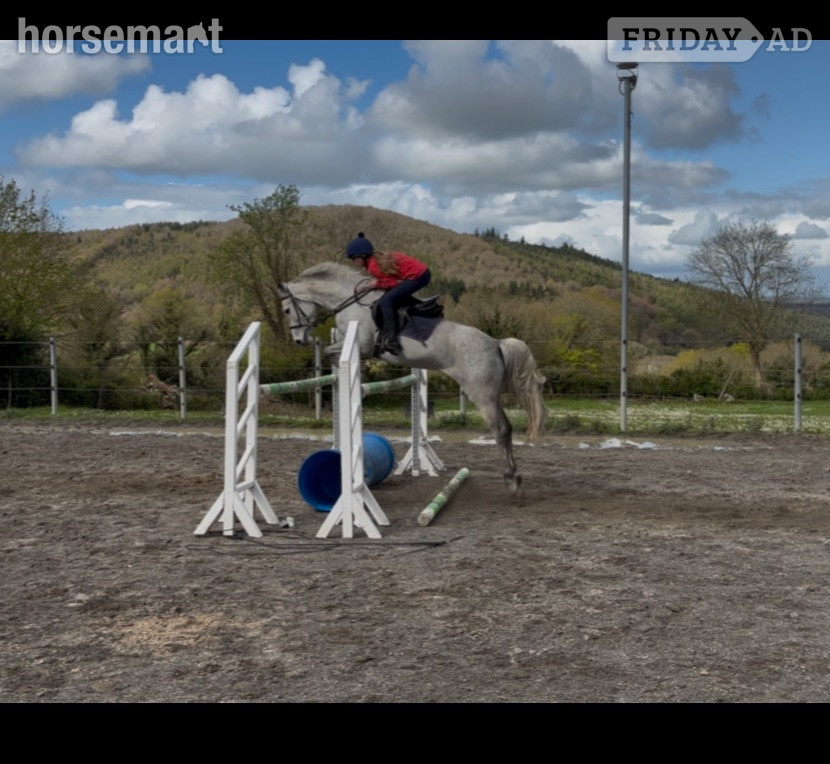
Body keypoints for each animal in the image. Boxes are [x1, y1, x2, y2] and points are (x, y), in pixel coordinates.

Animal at [278, 261, 547, 496]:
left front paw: (350, 372)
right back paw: (515, 476)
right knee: (507, 428)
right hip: (492, 395)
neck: (349, 302)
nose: (299, 340)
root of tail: (496, 343)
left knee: (500, 429)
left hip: (481, 395)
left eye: (287, 310)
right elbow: (329, 350)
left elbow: (329, 351)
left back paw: (510, 480)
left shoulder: (361, 345)